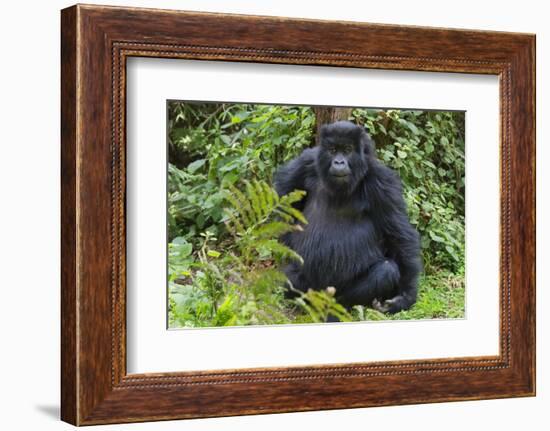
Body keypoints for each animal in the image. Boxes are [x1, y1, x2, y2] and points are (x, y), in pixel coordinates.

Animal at [274, 121, 422, 314]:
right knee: (290, 277)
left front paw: (405, 297)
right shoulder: (306, 162)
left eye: (347, 149)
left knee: (386, 270)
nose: (338, 162)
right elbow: (281, 198)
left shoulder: (383, 180)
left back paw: (338, 306)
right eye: (332, 150)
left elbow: (399, 234)